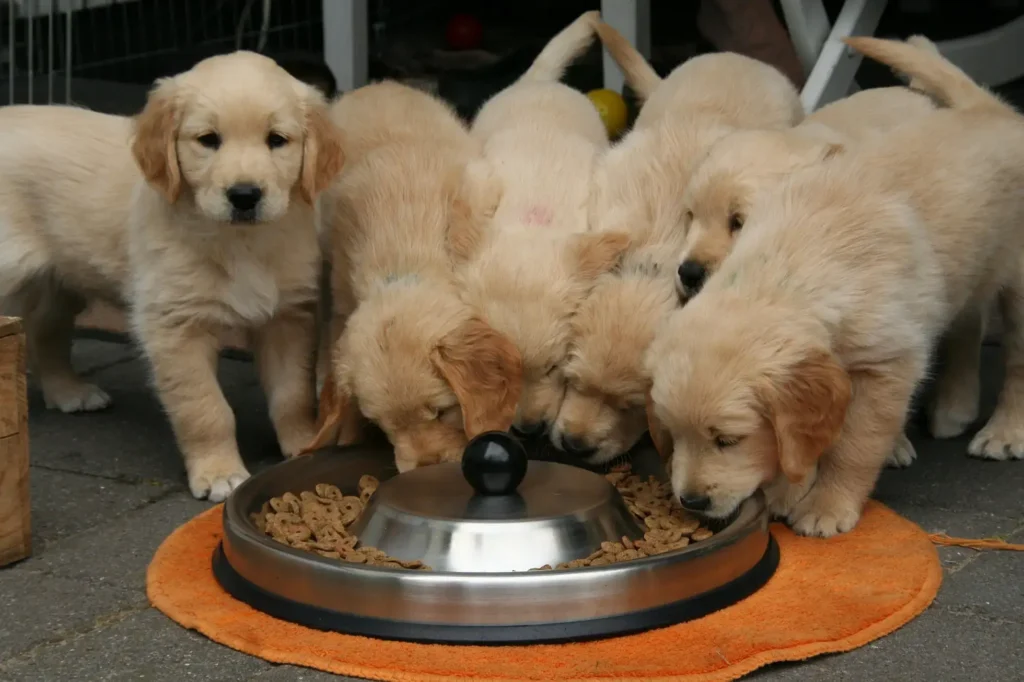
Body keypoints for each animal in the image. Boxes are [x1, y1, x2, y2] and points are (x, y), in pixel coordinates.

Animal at [305, 80, 520, 473]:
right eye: (382, 424)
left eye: (442, 411)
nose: (425, 467)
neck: (404, 264)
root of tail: (378, 84)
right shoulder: (342, 293)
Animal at [643, 35, 1024, 536]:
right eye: (673, 433)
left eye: (728, 439)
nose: (691, 500)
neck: (789, 270)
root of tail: (991, 109)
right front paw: (790, 489)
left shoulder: (887, 365)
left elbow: (853, 445)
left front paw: (826, 504)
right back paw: (954, 406)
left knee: (1018, 362)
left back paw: (1005, 431)